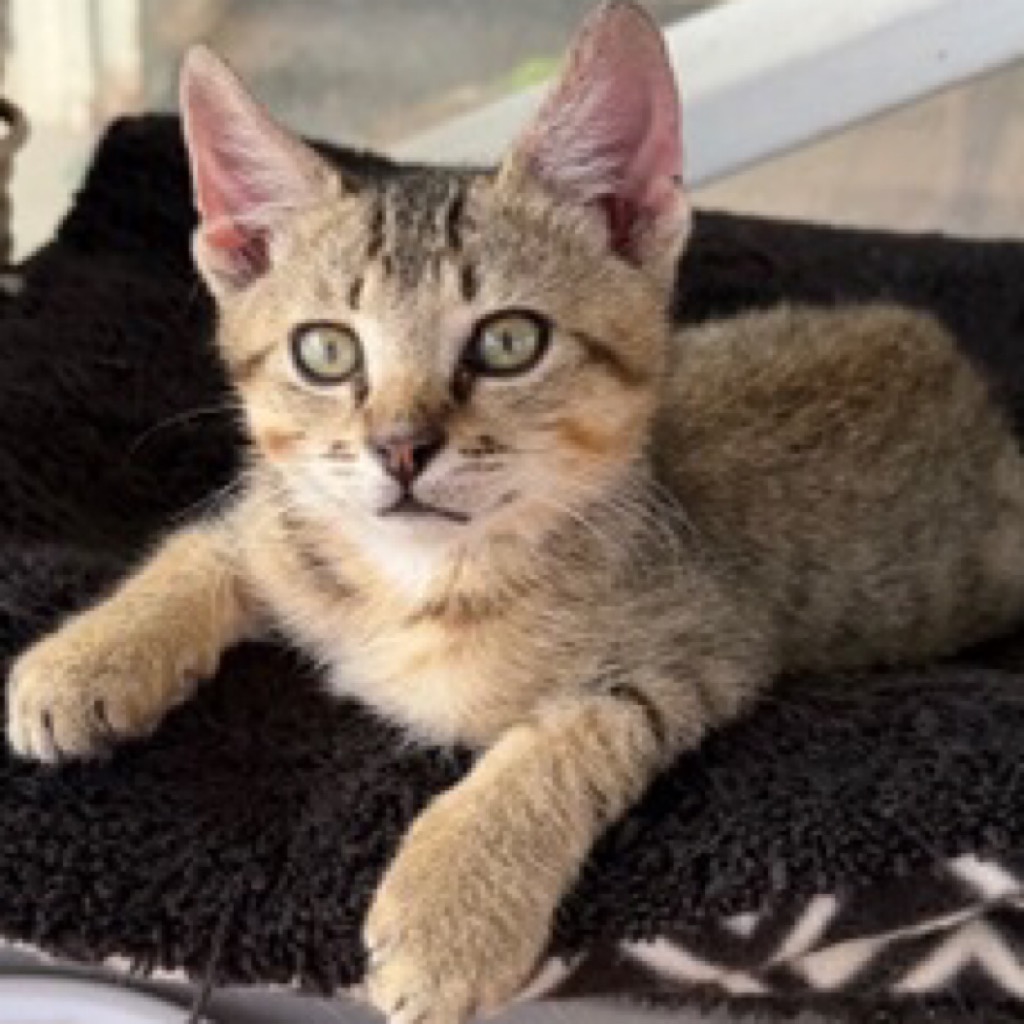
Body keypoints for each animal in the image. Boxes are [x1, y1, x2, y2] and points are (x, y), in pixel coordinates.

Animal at [9, 2, 1024, 1022]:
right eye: (327, 352)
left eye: (508, 342)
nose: (400, 447)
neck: (421, 582)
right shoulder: (287, 525)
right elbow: (209, 547)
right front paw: (83, 659)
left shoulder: (713, 643)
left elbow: (570, 734)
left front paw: (453, 908)